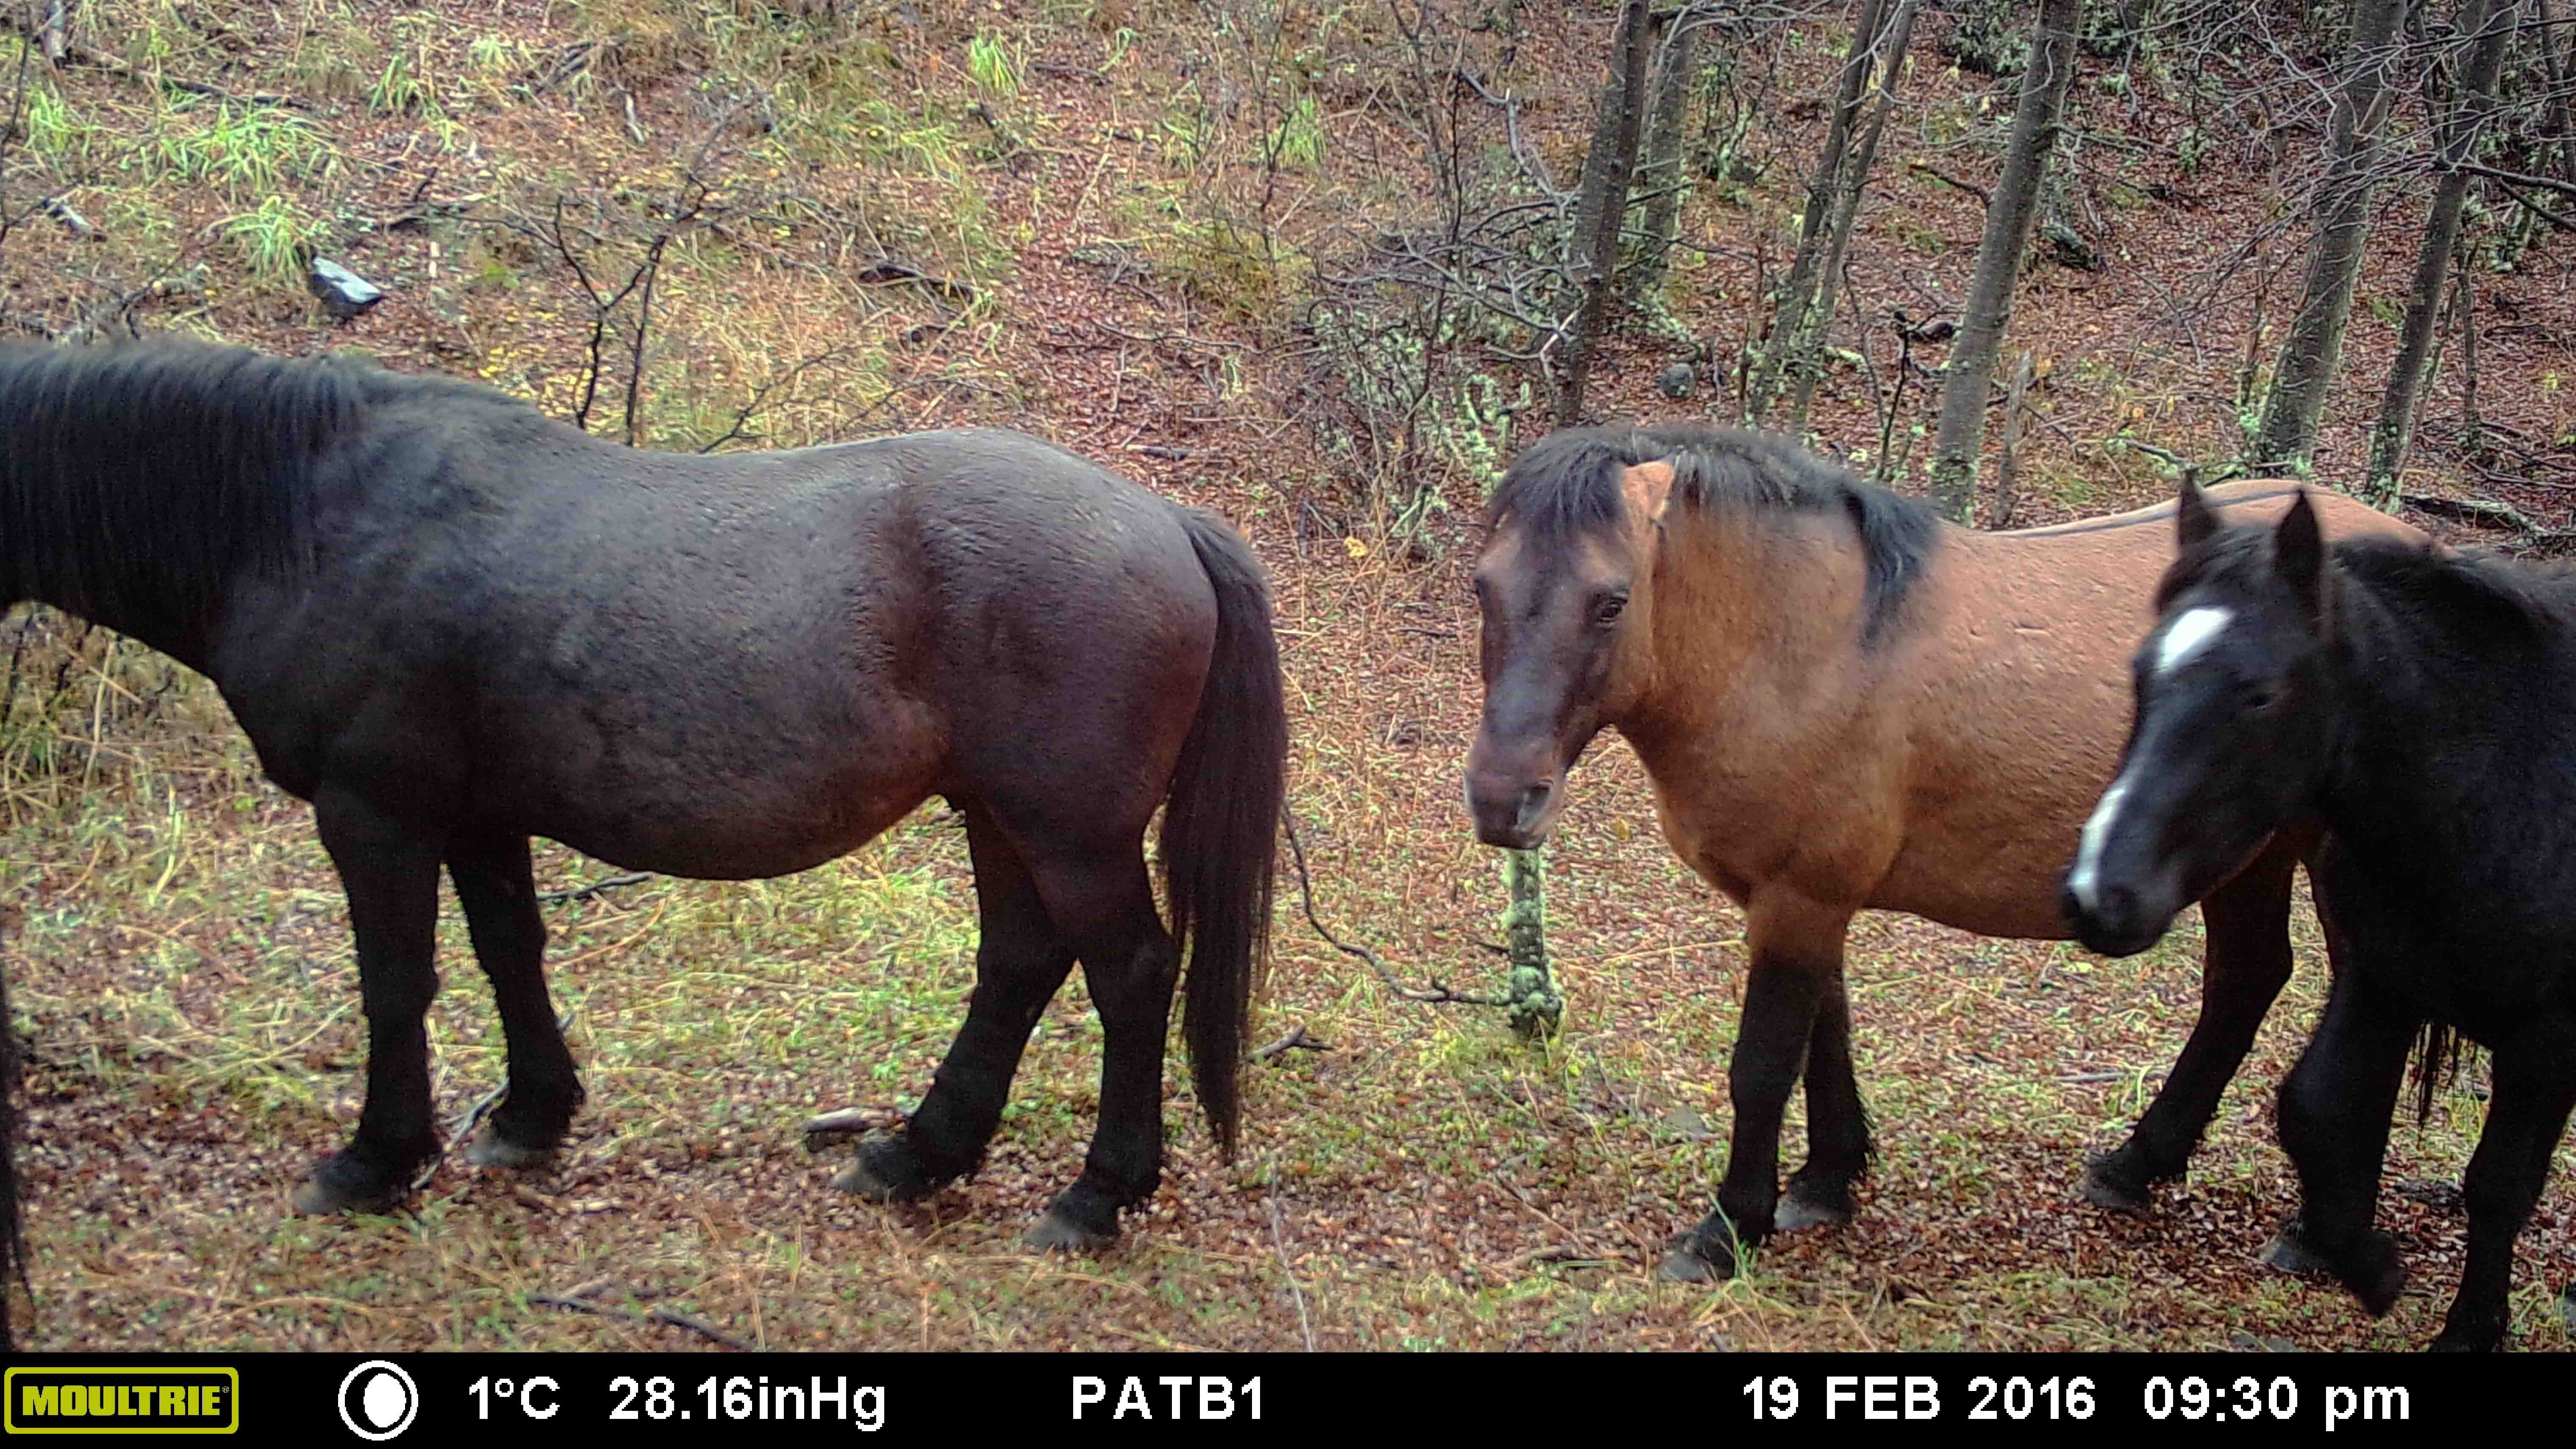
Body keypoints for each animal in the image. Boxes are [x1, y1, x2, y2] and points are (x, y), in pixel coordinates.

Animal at [0, 335, 1288, 1341]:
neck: (315, 512)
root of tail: (1165, 519)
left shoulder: (376, 811)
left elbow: (396, 982)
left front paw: (374, 1160)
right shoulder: (480, 815)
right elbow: (509, 953)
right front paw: (530, 1120)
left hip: (1069, 832)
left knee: (1129, 977)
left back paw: (1094, 1196)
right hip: (1001, 819)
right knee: (1019, 965)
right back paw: (916, 1155)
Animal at [1463, 425, 2421, 1274]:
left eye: (1611, 601)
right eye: (1482, 588)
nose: (1504, 800)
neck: (1809, 644)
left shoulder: (1800, 898)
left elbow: (1764, 1067)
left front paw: (1730, 1229)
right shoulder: (1802, 900)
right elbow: (1827, 1034)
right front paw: (1827, 1180)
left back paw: (2315, 1234)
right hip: (2247, 855)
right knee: (2247, 981)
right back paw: (2138, 1168)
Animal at [2071, 482, 2576, 1341]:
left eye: (2260, 694)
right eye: (2141, 675)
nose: (2101, 894)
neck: (2519, 784)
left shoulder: (2547, 1040)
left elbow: (2499, 1185)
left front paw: (2471, 1329)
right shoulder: (2384, 983)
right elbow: (2314, 1106)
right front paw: (2367, 1264)